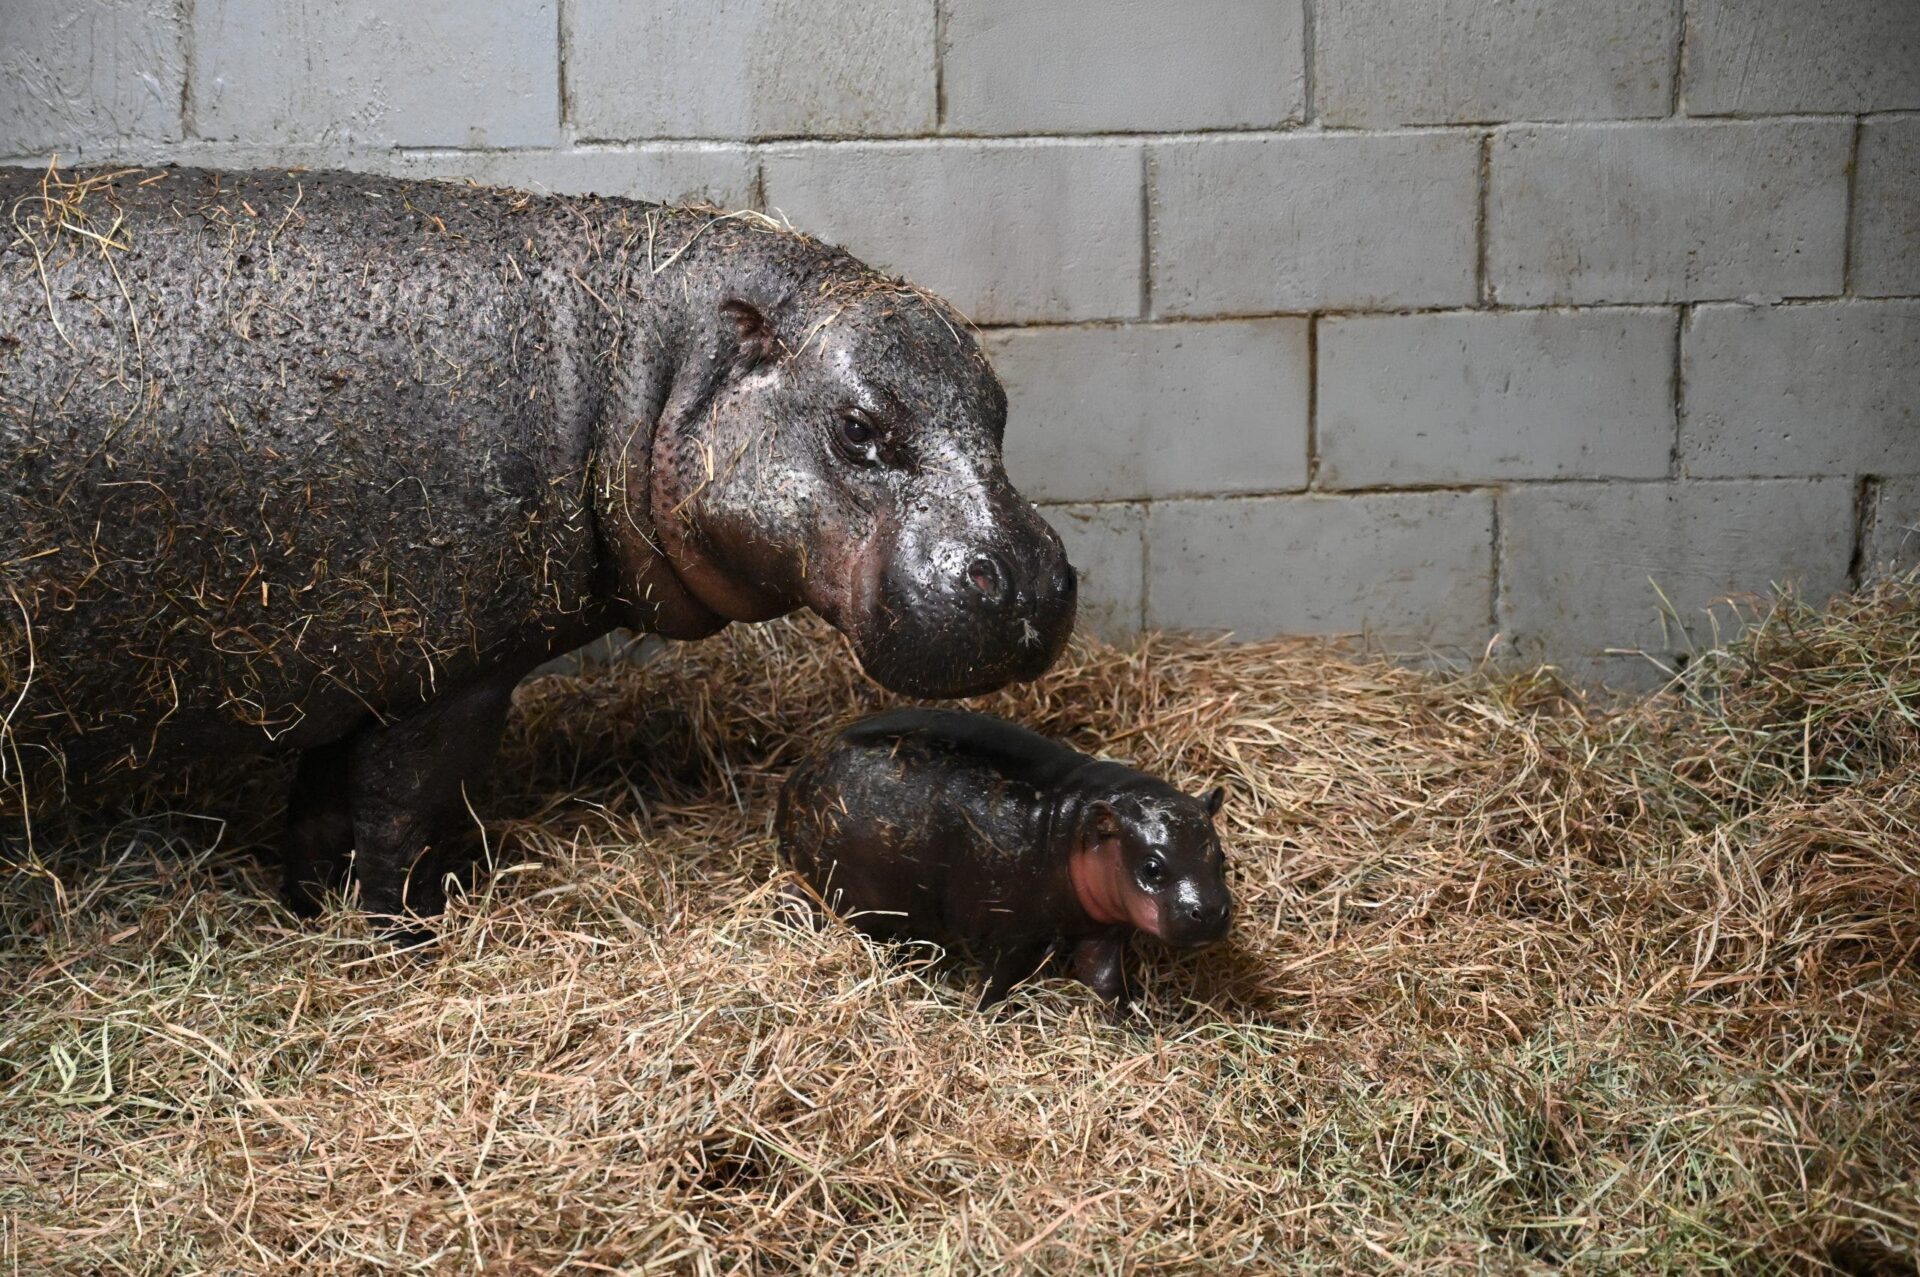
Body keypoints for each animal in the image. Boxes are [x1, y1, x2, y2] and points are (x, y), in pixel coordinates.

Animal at [0, 164, 1076, 921]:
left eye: (1001, 407)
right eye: (857, 427)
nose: (1030, 578)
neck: (639, 362)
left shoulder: (353, 666)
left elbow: (318, 814)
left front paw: (310, 911)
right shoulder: (443, 678)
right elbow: (392, 820)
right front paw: (400, 933)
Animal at [777, 709, 1232, 1013]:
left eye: (1222, 857)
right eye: (1152, 868)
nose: (1209, 911)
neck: (1076, 828)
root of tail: (803, 769)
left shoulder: (1101, 928)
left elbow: (1103, 978)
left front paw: (1126, 1021)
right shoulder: (1016, 931)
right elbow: (999, 979)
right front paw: (983, 1016)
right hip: (845, 889)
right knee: (800, 901)